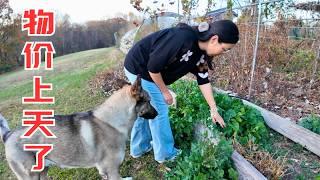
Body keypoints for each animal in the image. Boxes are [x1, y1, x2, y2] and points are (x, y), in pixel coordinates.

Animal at [0, 76, 158, 180]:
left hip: (43, 171)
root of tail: (8, 134)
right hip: (31, 175)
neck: (113, 121)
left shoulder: (105, 172)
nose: (157, 113)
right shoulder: (112, 170)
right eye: (149, 101)